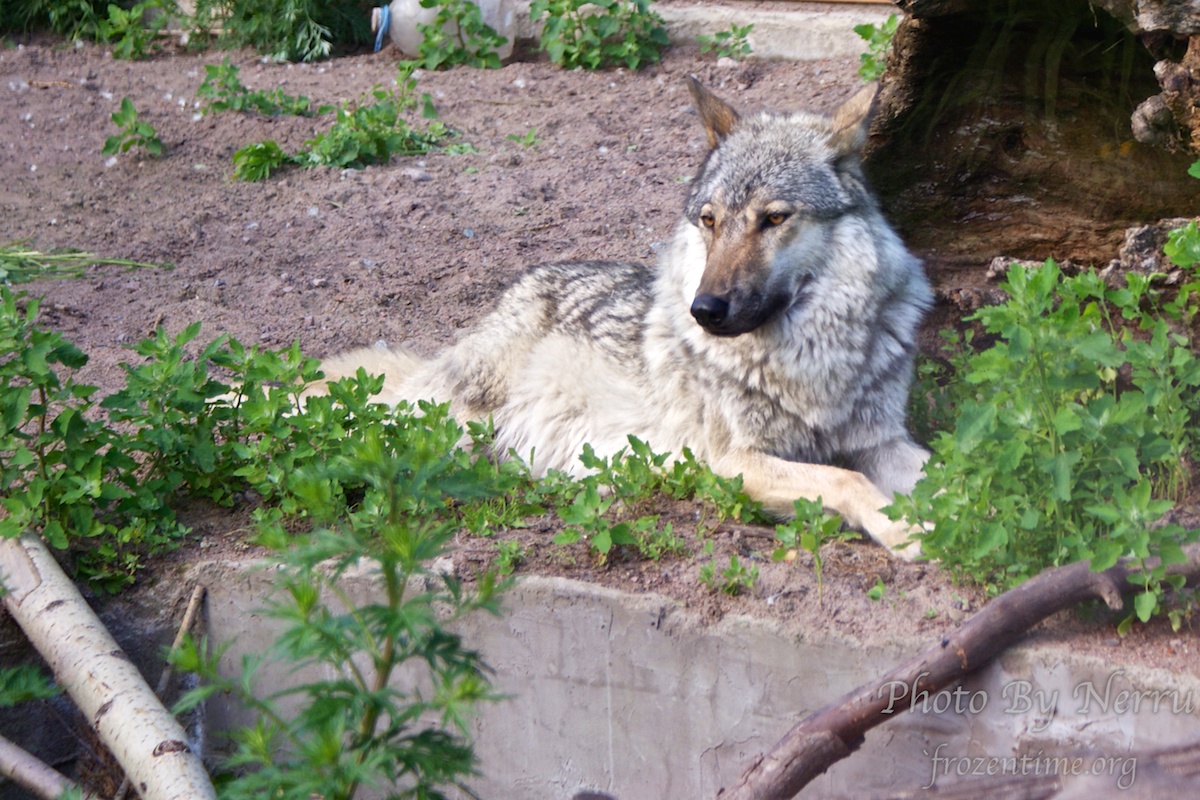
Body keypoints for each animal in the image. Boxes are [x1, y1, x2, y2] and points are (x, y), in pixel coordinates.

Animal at [321, 77, 936, 561]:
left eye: (774, 219)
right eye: (710, 221)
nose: (703, 310)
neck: (813, 360)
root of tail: (515, 288)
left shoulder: (883, 440)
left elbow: (931, 468)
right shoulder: (732, 460)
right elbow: (844, 477)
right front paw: (908, 530)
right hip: (446, 424)